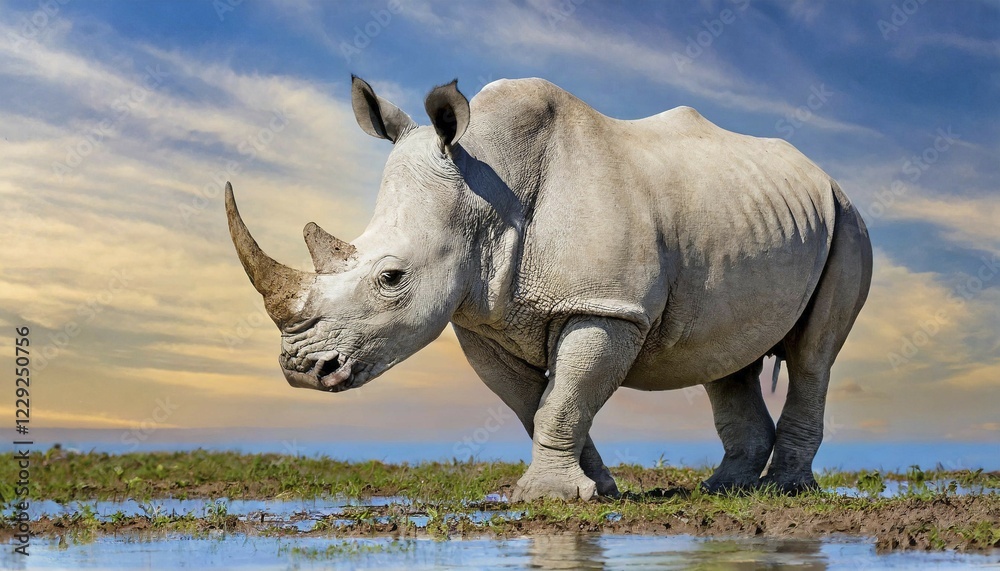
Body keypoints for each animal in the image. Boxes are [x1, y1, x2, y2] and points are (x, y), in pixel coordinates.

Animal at [225, 76, 873, 500]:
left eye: (391, 279)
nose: (301, 370)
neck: (484, 189)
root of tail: (822, 176)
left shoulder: (606, 306)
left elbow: (565, 394)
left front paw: (548, 498)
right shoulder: (480, 318)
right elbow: (535, 402)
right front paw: (593, 490)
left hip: (847, 221)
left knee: (814, 356)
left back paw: (786, 492)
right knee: (727, 359)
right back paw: (724, 491)